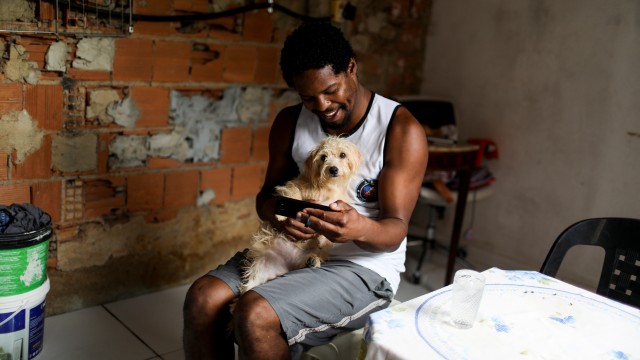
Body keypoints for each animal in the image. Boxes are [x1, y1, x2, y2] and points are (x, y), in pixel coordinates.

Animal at [239, 136, 362, 294]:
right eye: (323, 157)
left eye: (342, 155)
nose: (333, 169)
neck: (327, 187)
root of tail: (287, 264)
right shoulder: (293, 186)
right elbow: (293, 194)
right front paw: (282, 215)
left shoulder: (336, 209)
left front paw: (323, 239)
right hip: (260, 265)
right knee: (248, 285)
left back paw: (312, 260)